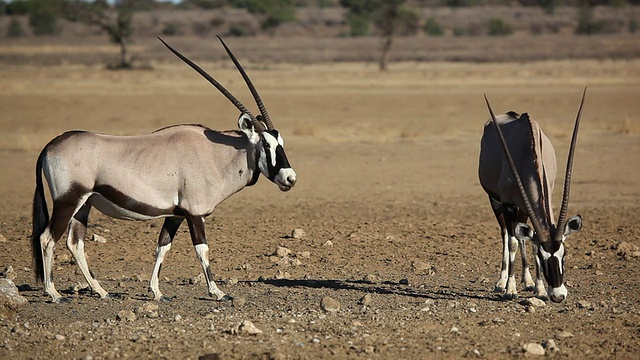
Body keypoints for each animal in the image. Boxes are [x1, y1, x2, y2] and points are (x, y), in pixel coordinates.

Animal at [31, 35, 296, 304]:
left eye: (281, 142)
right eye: (266, 144)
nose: (290, 178)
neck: (214, 154)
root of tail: (49, 147)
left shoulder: (176, 214)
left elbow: (163, 246)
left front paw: (157, 292)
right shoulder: (195, 213)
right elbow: (202, 250)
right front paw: (218, 292)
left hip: (84, 204)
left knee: (75, 243)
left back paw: (101, 291)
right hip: (67, 201)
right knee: (47, 238)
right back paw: (54, 293)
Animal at [478, 88, 588, 302]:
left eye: (564, 254)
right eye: (543, 257)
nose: (558, 296)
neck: (527, 153)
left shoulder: (529, 203)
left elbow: (529, 241)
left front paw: (540, 289)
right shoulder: (507, 204)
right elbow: (512, 242)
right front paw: (510, 289)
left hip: (522, 209)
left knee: (522, 236)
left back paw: (528, 281)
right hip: (496, 202)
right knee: (506, 234)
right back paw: (501, 282)